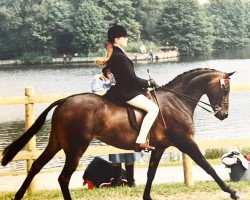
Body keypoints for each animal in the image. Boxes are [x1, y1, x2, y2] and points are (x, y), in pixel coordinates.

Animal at [1, 68, 240, 199]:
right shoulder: (186, 142)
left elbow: (151, 173)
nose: (224, 115)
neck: (177, 100)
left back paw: (19, 196)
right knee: (63, 177)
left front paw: (146, 197)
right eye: (225, 88)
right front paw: (232, 192)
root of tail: (65, 100)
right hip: (77, 147)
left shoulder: (160, 147)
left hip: (57, 143)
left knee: (36, 166)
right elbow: (208, 167)